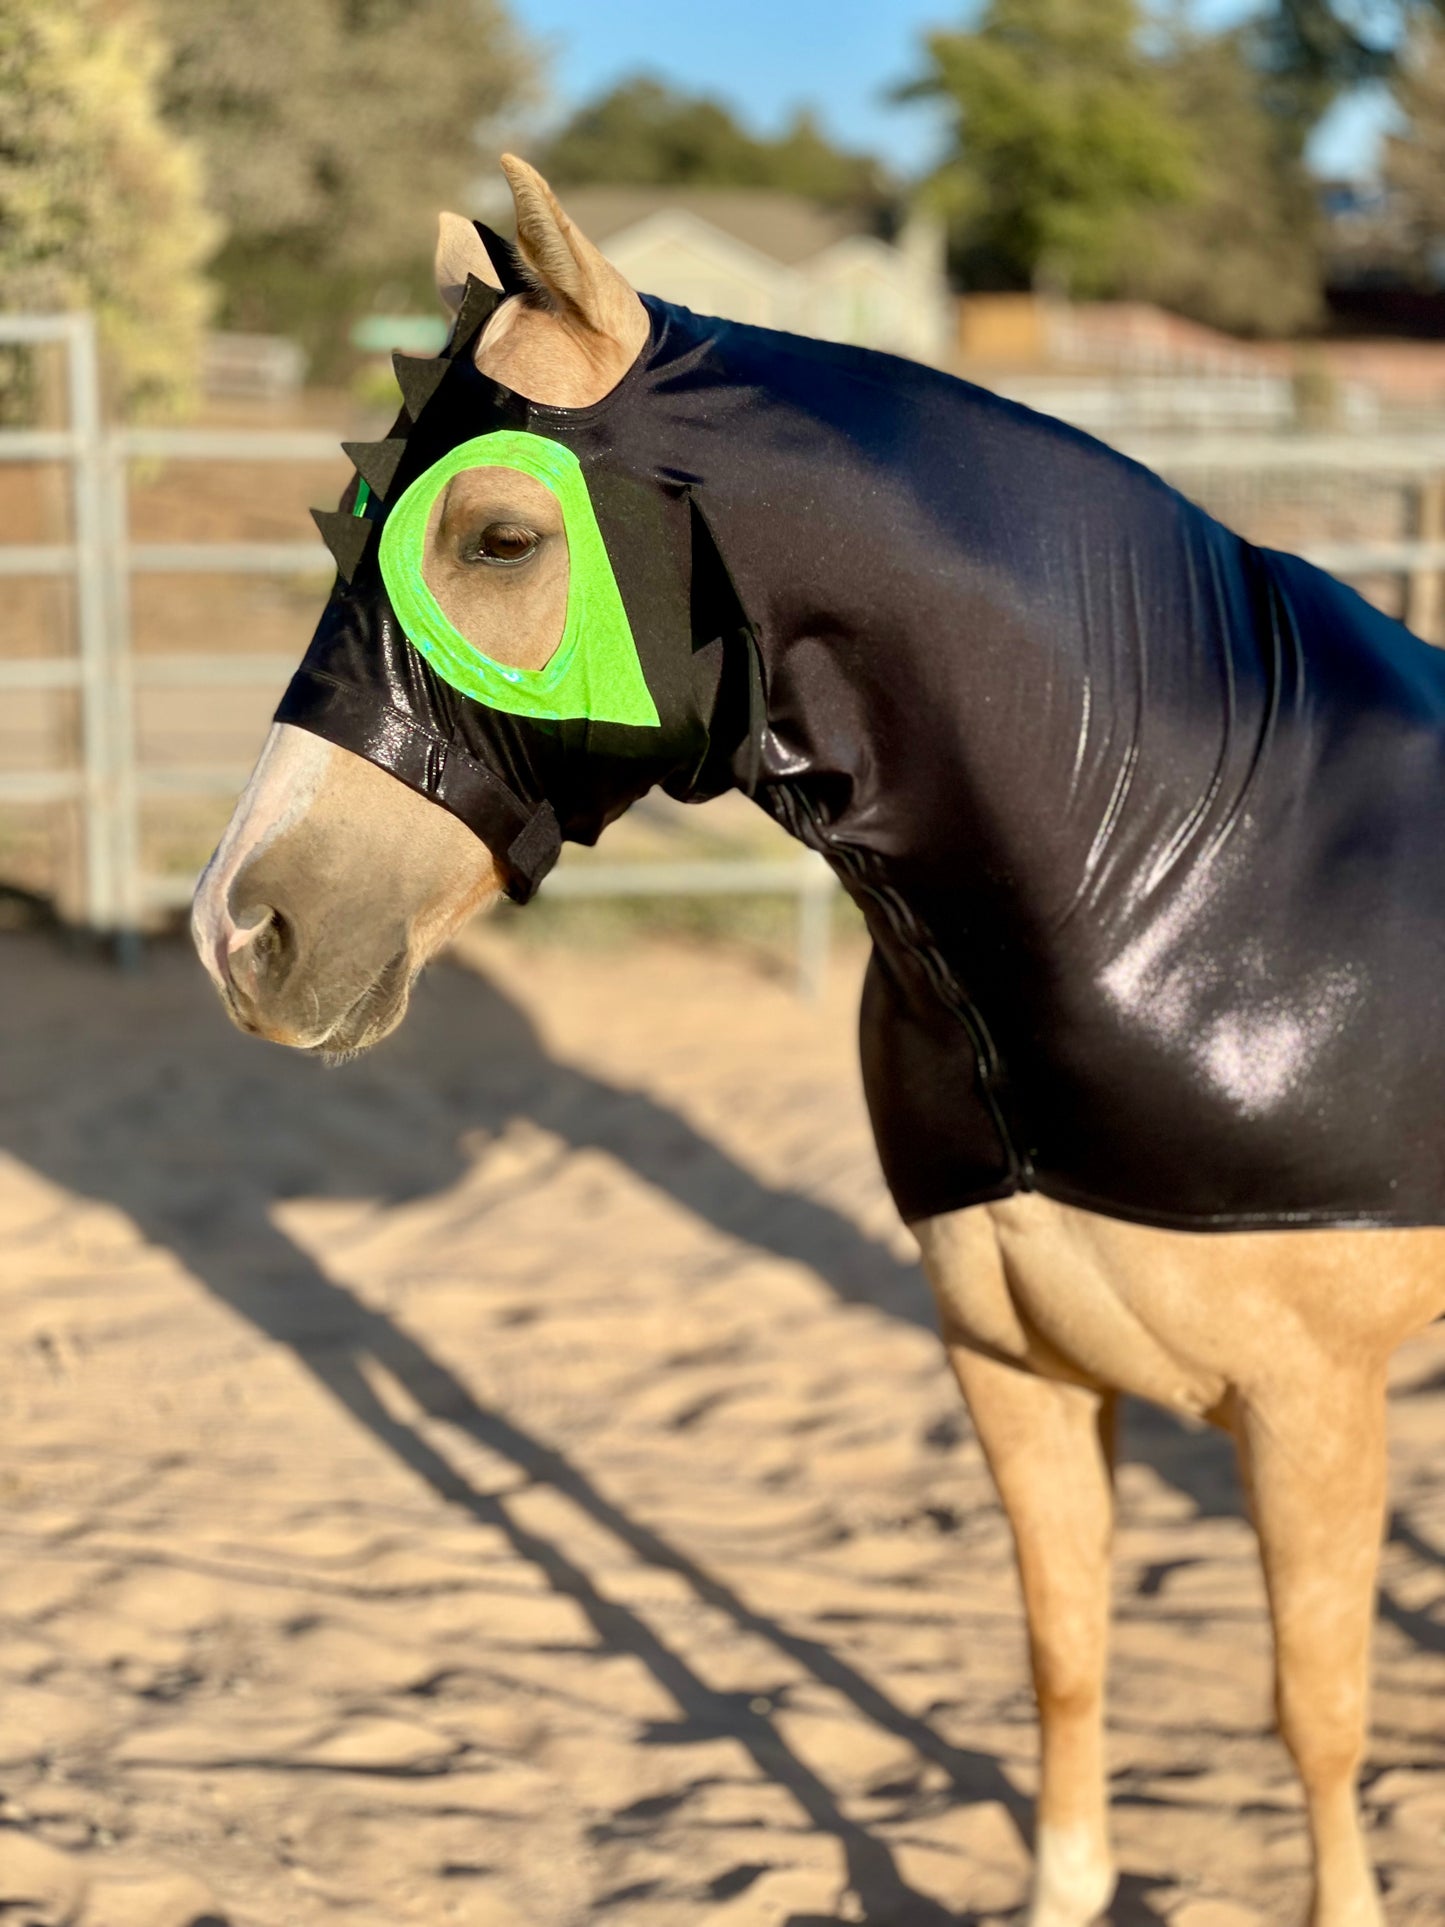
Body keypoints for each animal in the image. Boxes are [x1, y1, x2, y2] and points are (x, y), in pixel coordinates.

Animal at [192, 155, 1445, 1927]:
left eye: (499, 533)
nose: (241, 928)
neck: (1173, 865)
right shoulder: (1012, 1368)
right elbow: (1066, 1656)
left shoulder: (1310, 1403)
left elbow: (1316, 1713)